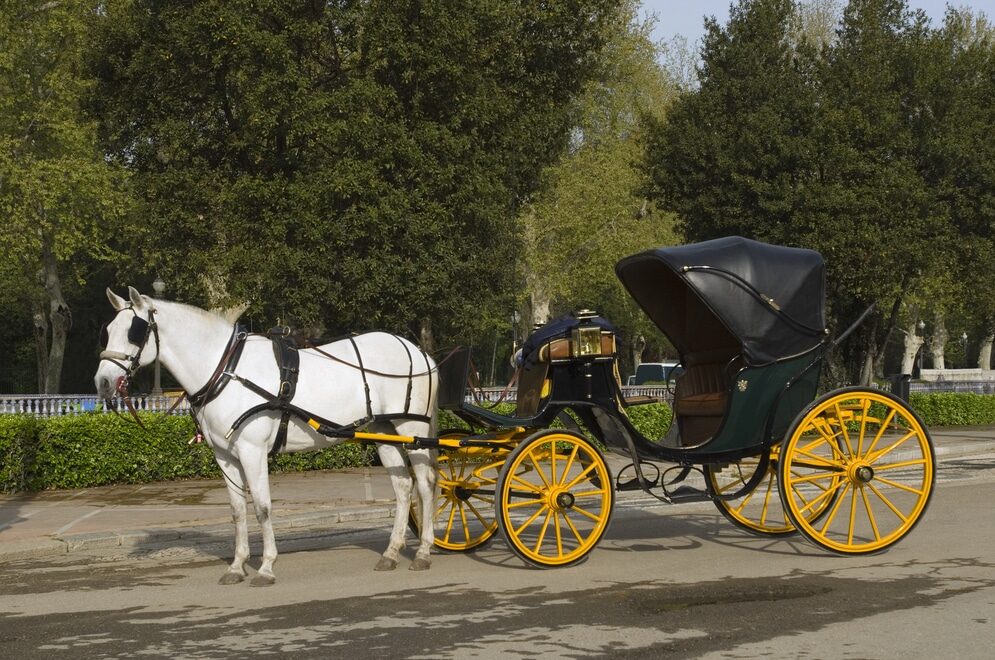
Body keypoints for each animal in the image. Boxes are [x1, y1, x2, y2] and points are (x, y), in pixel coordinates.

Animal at [94, 287, 439, 586]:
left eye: (134, 331)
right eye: (108, 330)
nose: (103, 383)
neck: (224, 370)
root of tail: (419, 351)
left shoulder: (252, 451)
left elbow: (262, 506)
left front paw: (266, 567)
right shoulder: (225, 456)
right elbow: (237, 510)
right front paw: (237, 566)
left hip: (412, 429)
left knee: (425, 484)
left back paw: (423, 551)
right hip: (384, 431)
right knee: (403, 487)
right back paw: (391, 552)